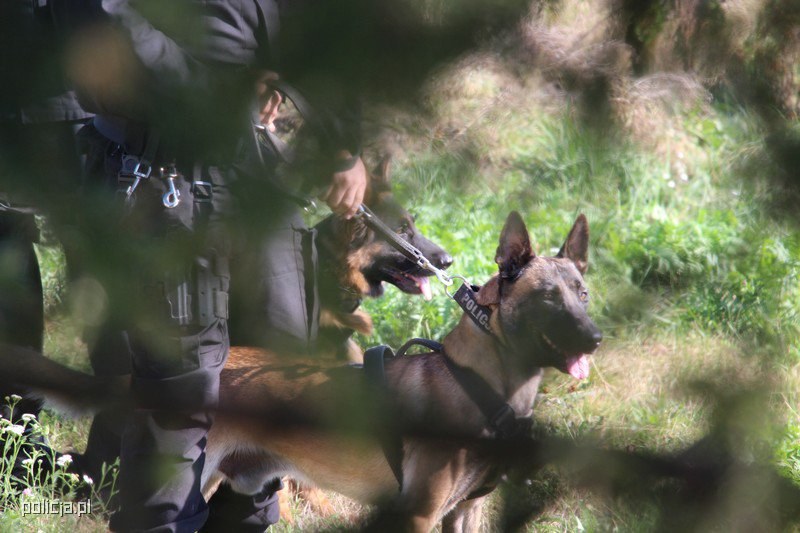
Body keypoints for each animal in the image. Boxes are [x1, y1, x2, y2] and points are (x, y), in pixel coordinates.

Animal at [0, 210, 600, 528]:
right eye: (548, 298)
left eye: (584, 294)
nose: (595, 338)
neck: (478, 384)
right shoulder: (417, 514)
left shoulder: (464, 514)